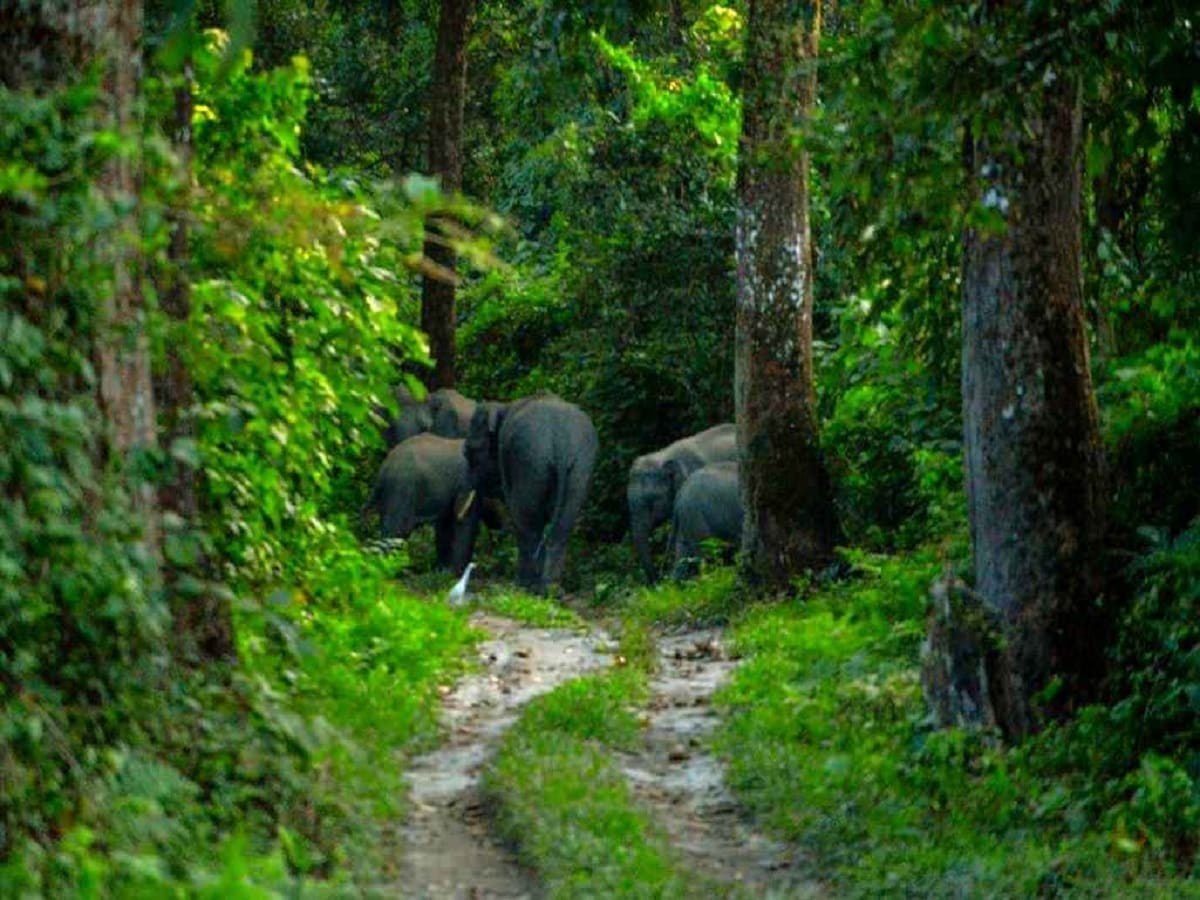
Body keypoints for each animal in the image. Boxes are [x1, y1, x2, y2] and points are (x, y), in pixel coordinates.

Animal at [360, 434, 482, 573]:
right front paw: (453, 573)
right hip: (401, 487)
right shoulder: (467, 482)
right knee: (397, 530)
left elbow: (446, 523)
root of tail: (383, 468)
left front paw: (442, 571)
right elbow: (465, 522)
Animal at [468, 393, 600, 592]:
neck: (502, 407)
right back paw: (550, 589)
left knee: (527, 524)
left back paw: (525, 586)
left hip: (530, 460)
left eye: (471, 452)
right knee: (563, 526)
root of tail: (561, 443)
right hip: (579, 467)